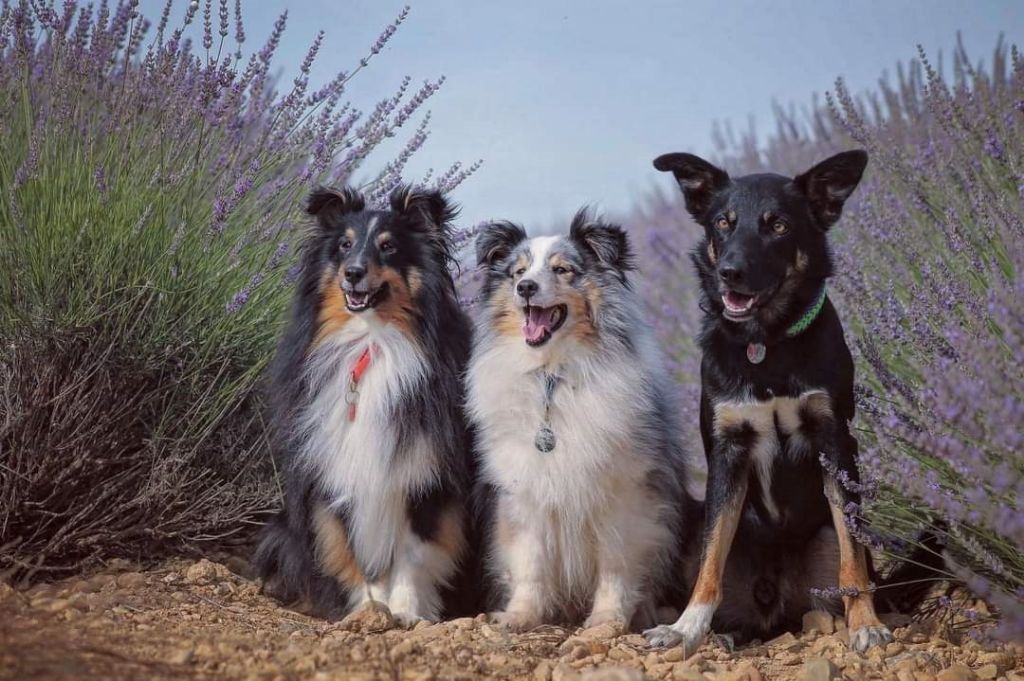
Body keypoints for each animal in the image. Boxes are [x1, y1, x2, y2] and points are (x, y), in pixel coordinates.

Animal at [256, 184, 479, 622]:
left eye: (388, 246)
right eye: (344, 245)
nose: (353, 273)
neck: (371, 343)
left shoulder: (424, 476)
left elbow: (413, 552)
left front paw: (407, 612)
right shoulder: (337, 471)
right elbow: (351, 550)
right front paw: (369, 611)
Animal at [466, 214, 696, 630]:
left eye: (562, 270)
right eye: (518, 272)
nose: (525, 288)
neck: (553, 378)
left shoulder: (624, 493)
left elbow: (615, 564)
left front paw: (607, 620)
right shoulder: (526, 490)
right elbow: (530, 561)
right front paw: (520, 616)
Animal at [647, 150, 897, 655]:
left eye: (778, 225)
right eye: (723, 223)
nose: (730, 273)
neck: (766, 342)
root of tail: (770, 603)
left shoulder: (835, 443)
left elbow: (853, 556)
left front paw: (866, 623)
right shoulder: (728, 451)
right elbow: (711, 561)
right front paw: (686, 628)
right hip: (693, 527)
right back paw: (721, 635)